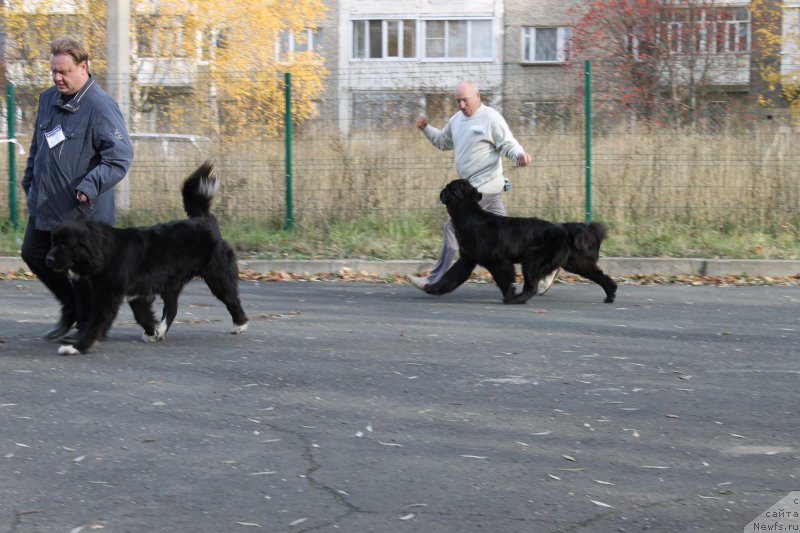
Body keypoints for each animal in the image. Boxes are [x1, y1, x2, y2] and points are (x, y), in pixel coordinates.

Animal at [47, 162, 247, 354]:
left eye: (64, 245)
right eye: (53, 241)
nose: (48, 259)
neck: (106, 252)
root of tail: (204, 218)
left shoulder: (108, 297)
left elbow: (96, 324)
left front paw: (76, 347)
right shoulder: (136, 294)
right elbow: (142, 315)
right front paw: (153, 331)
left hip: (217, 276)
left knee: (231, 298)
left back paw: (240, 324)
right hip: (170, 283)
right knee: (172, 309)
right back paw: (162, 330)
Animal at [424, 179, 620, 304]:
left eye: (448, 187)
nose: (440, 192)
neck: (469, 215)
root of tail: (563, 227)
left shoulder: (498, 261)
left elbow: (505, 280)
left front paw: (510, 296)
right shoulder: (467, 260)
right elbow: (450, 276)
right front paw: (432, 288)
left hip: (532, 261)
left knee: (531, 287)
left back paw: (517, 300)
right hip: (575, 262)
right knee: (601, 276)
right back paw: (610, 295)